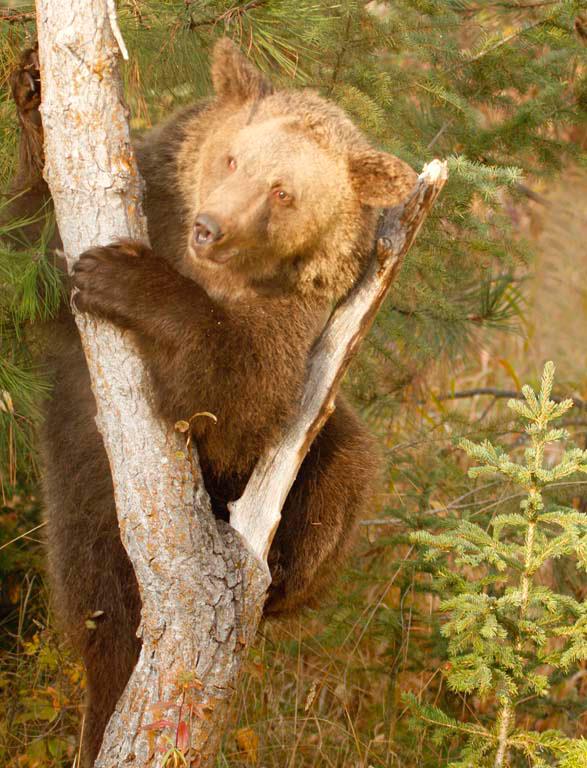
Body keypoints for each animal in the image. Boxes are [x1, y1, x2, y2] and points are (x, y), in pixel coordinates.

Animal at [6, 39, 417, 766]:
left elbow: (235, 396)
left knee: (344, 469)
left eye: (283, 191)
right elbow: (32, 237)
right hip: (82, 498)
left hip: (316, 452)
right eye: (231, 157)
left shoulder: (290, 323)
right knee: (97, 595)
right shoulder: (149, 202)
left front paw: (126, 278)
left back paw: (280, 566)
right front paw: (31, 86)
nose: (211, 228)